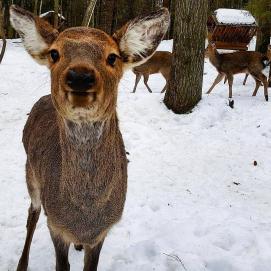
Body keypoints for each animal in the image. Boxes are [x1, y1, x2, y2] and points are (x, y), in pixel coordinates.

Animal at [9, 4, 170, 271]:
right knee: (32, 212)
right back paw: (22, 264)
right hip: (30, 173)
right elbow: (61, 264)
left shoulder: (102, 232)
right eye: (54, 53)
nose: (80, 76)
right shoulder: (56, 225)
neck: (86, 214)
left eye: (112, 56)